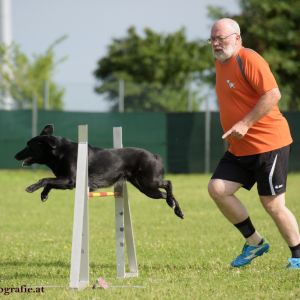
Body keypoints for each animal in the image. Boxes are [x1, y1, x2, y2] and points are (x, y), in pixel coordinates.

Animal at [15, 124, 184, 218]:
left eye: (29, 145)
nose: (15, 155)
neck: (60, 152)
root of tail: (154, 155)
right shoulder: (67, 182)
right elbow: (49, 182)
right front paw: (43, 195)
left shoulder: (70, 180)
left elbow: (45, 179)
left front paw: (32, 188)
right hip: (147, 189)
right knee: (164, 194)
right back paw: (176, 209)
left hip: (149, 182)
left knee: (168, 183)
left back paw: (173, 204)